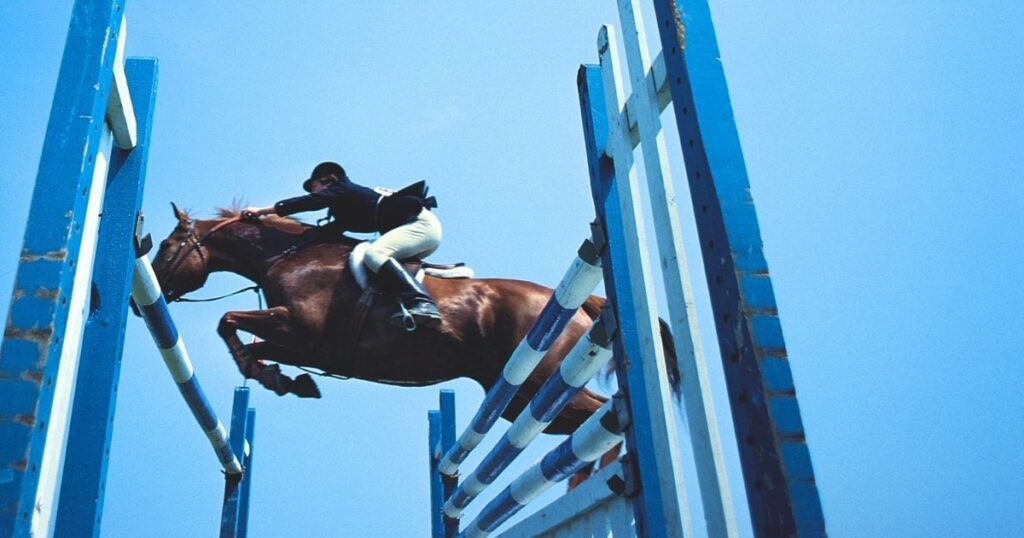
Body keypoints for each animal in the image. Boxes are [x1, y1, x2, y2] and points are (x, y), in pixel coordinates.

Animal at [151, 203, 680, 452]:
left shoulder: (301, 330)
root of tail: (573, 301)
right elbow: (250, 343)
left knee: (604, 409)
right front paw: (283, 381)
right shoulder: (304, 345)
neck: (288, 257)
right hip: (520, 402)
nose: (144, 301)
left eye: (167, 246)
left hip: (540, 382)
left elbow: (227, 321)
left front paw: (275, 377)